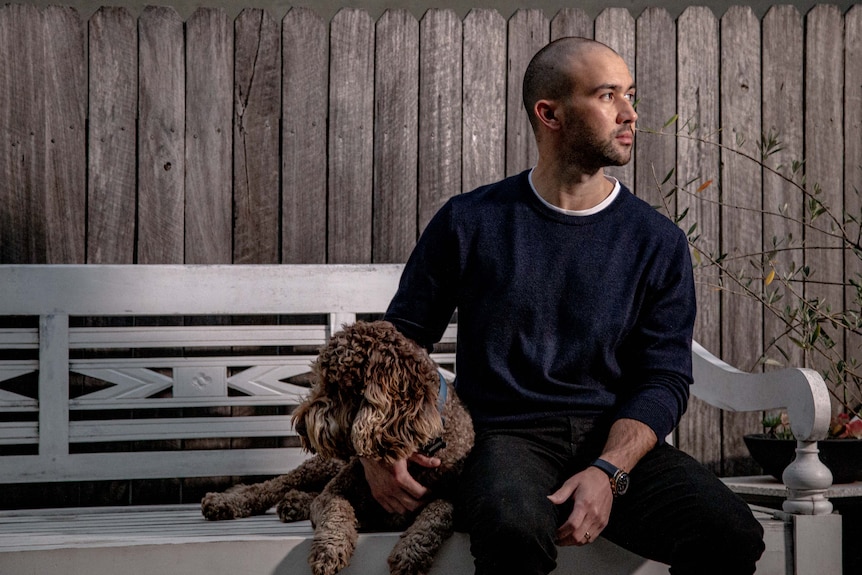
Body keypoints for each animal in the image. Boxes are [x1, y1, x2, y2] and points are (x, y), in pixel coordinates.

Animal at [200, 320, 476, 575]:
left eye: (335, 385)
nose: (300, 426)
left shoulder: (454, 498)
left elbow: (439, 511)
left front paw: (411, 552)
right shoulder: (336, 491)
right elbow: (336, 509)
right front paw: (330, 549)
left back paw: (295, 503)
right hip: (323, 465)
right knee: (273, 485)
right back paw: (224, 502)